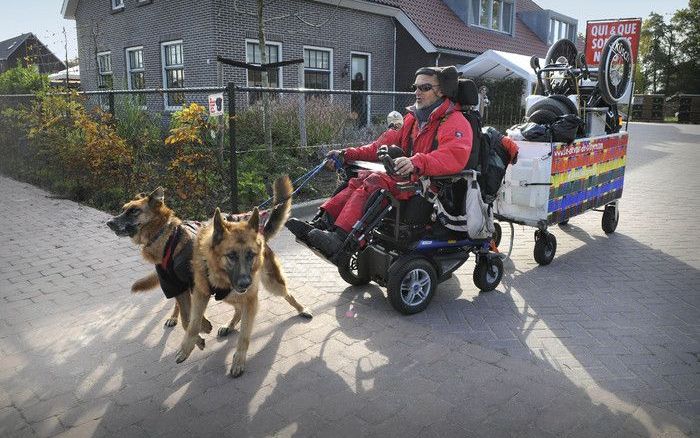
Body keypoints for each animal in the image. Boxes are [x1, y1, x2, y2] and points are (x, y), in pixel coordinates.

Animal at [105, 186, 212, 334]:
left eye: (134, 211)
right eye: (123, 209)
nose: (109, 222)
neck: (169, 241)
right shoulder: (171, 283)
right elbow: (186, 315)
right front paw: (201, 327)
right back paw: (173, 318)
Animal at [175, 176, 312, 378]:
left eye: (250, 255)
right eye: (231, 256)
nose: (246, 283)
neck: (218, 272)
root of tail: (260, 234)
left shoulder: (251, 300)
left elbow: (244, 336)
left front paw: (239, 360)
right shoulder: (201, 294)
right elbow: (192, 323)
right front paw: (187, 347)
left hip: (271, 284)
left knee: (288, 294)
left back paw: (302, 309)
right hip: (228, 296)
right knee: (238, 309)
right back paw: (230, 325)